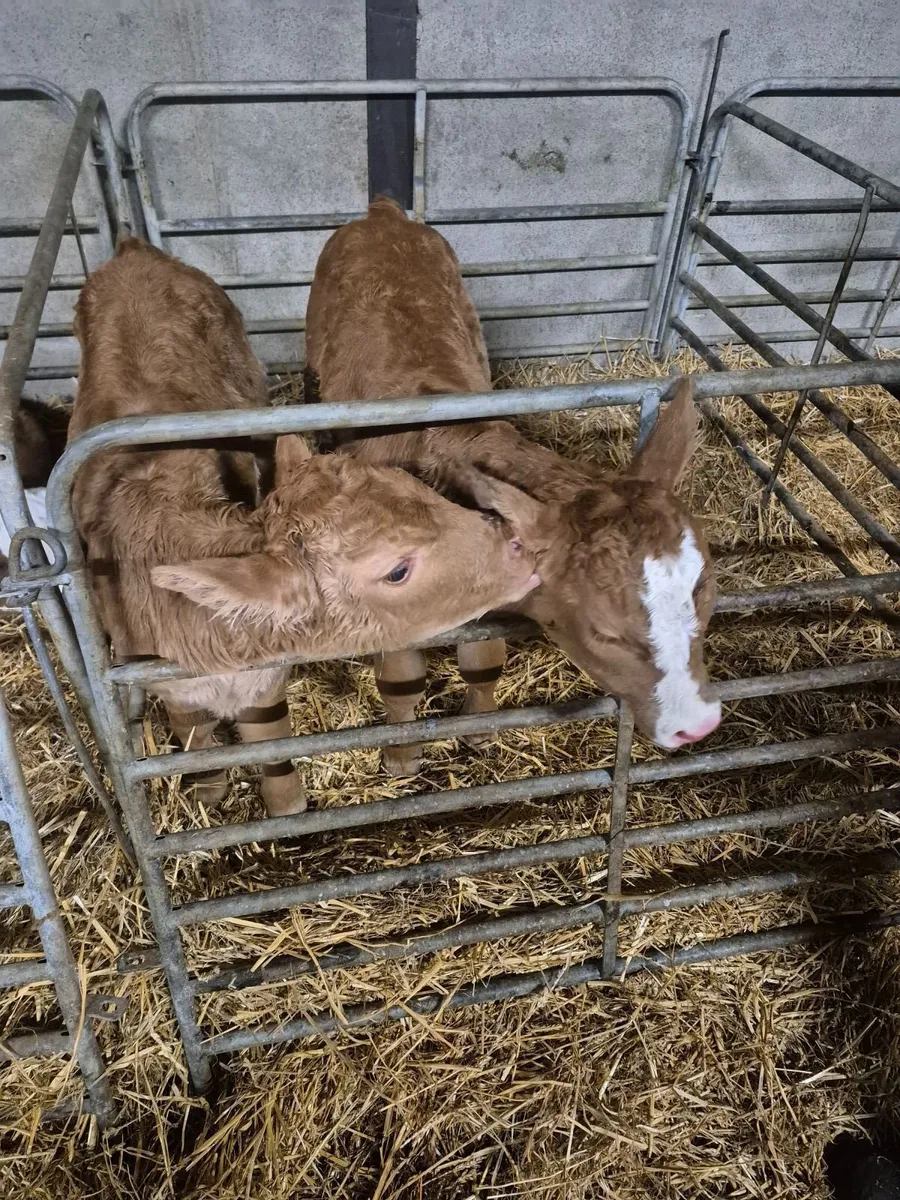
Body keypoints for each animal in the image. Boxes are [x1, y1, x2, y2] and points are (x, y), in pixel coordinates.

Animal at [69, 237, 540, 815]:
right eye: (396, 570)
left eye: (423, 492)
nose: (518, 545)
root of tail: (133, 250)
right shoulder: (156, 671)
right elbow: (191, 729)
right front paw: (209, 788)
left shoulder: (266, 677)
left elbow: (268, 735)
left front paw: (287, 803)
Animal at [305, 197, 720, 775]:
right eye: (604, 632)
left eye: (706, 593)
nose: (698, 725)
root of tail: (383, 213)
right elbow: (401, 681)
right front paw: (403, 757)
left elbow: (485, 658)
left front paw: (479, 731)